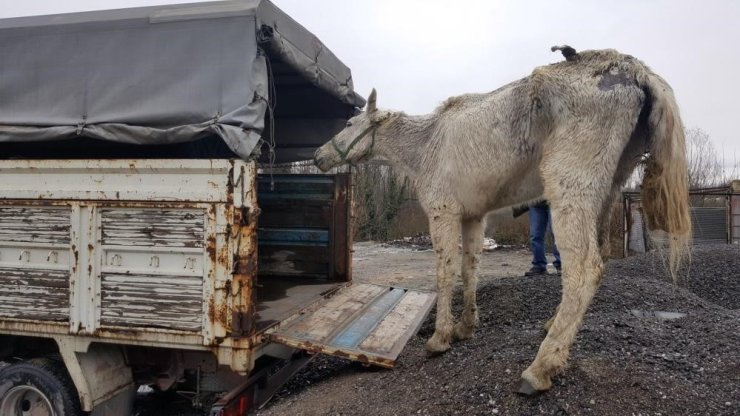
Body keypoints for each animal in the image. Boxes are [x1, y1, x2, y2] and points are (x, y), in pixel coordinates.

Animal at [314, 47, 692, 394]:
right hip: (609, 188)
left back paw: (542, 366)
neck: (426, 145)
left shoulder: (443, 212)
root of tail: (635, 71)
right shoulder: (473, 216)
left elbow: (445, 271)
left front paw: (440, 337)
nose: (318, 155)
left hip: (570, 190)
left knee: (585, 268)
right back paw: (552, 327)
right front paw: (466, 326)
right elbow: (470, 268)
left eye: (349, 124)